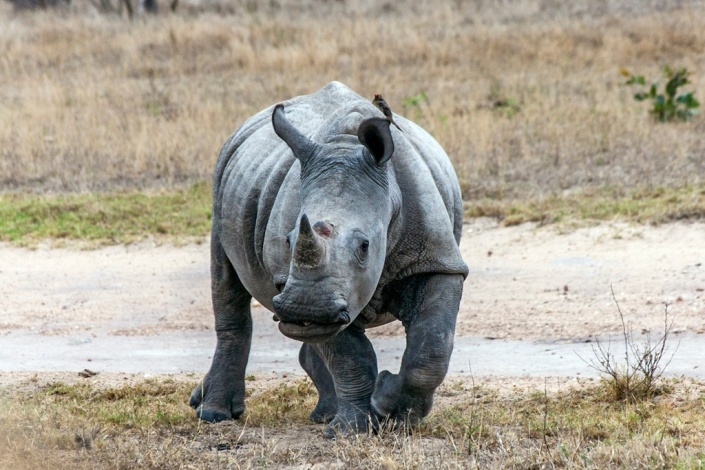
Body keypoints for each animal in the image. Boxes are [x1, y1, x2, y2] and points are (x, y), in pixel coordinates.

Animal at [190, 81, 468, 437]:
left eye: (365, 246)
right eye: (289, 241)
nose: (303, 311)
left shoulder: (438, 260)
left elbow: (432, 347)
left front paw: (393, 412)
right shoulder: (304, 287)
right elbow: (348, 357)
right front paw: (352, 430)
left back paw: (324, 414)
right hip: (222, 181)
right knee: (226, 278)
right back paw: (215, 414)